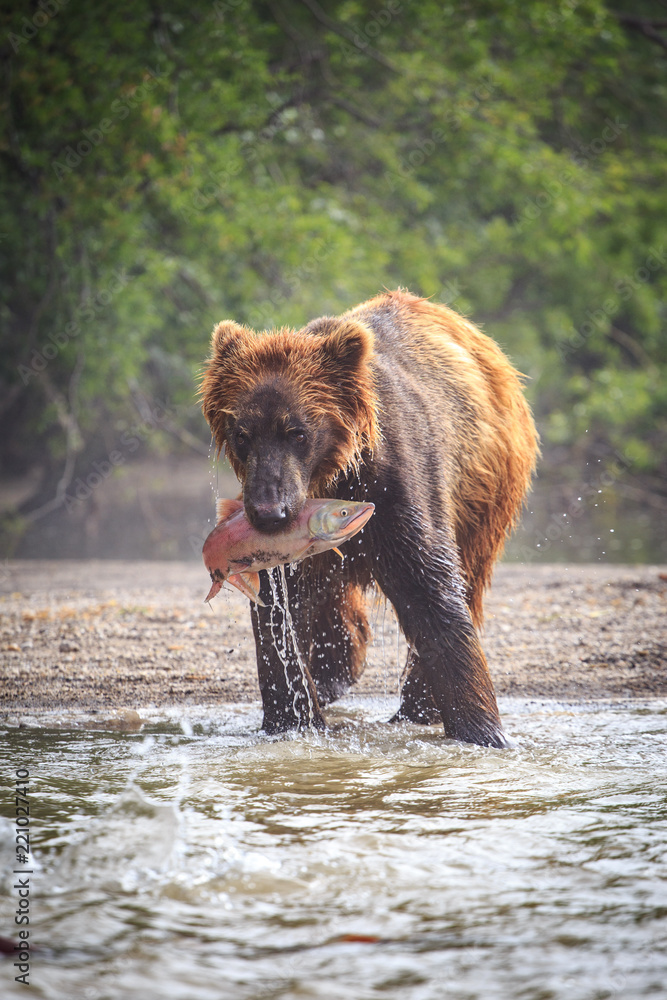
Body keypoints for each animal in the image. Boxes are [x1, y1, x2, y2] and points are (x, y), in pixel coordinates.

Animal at [200, 290, 538, 747]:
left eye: (298, 431)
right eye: (242, 434)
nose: (270, 512)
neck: (335, 474)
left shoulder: (397, 484)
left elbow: (430, 589)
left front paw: (482, 731)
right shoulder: (275, 542)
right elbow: (278, 609)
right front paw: (292, 719)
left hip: (486, 491)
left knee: (467, 576)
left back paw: (416, 706)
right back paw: (333, 677)